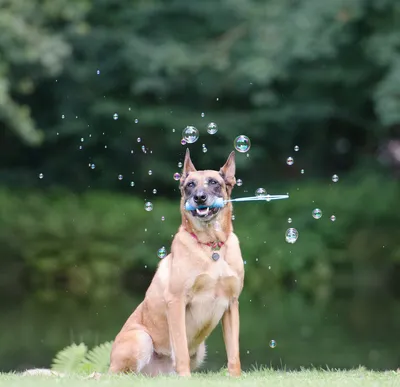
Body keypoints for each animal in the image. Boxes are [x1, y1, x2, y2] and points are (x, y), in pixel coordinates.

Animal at [108, 150, 244, 378]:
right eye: (190, 185)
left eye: (214, 182)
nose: (199, 197)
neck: (211, 246)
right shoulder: (177, 302)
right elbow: (180, 348)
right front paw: (185, 377)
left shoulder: (231, 304)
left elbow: (234, 351)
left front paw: (235, 377)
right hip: (141, 339)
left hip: (200, 350)